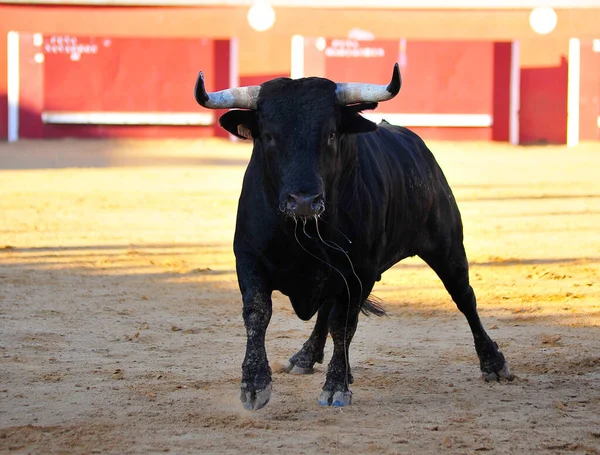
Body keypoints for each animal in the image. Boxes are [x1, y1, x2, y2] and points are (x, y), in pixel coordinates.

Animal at [193, 63, 510, 410]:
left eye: (331, 134)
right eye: (268, 136)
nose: (303, 201)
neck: (302, 233)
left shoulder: (359, 271)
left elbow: (343, 325)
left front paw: (336, 386)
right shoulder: (249, 258)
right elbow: (258, 312)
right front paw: (254, 384)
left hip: (447, 247)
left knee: (464, 297)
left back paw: (493, 363)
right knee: (327, 310)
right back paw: (305, 357)